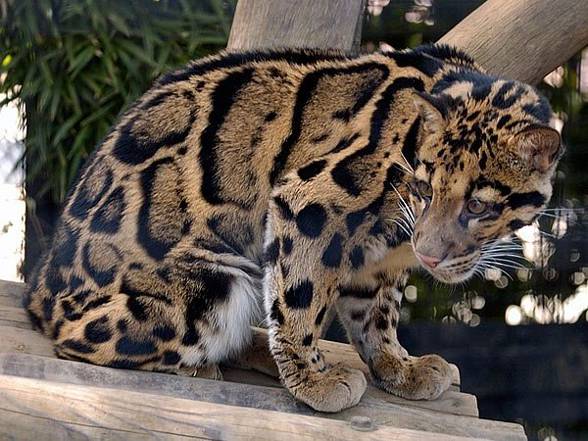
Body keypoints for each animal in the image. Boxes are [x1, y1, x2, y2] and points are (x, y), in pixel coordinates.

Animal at [26, 43, 560, 410]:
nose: (428, 254)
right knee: (84, 340)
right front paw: (313, 379)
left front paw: (397, 366)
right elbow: (301, 296)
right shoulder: (308, 200)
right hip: (212, 284)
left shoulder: (386, 256)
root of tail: (40, 290)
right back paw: (204, 368)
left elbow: (377, 312)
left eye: (478, 206)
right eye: (425, 190)